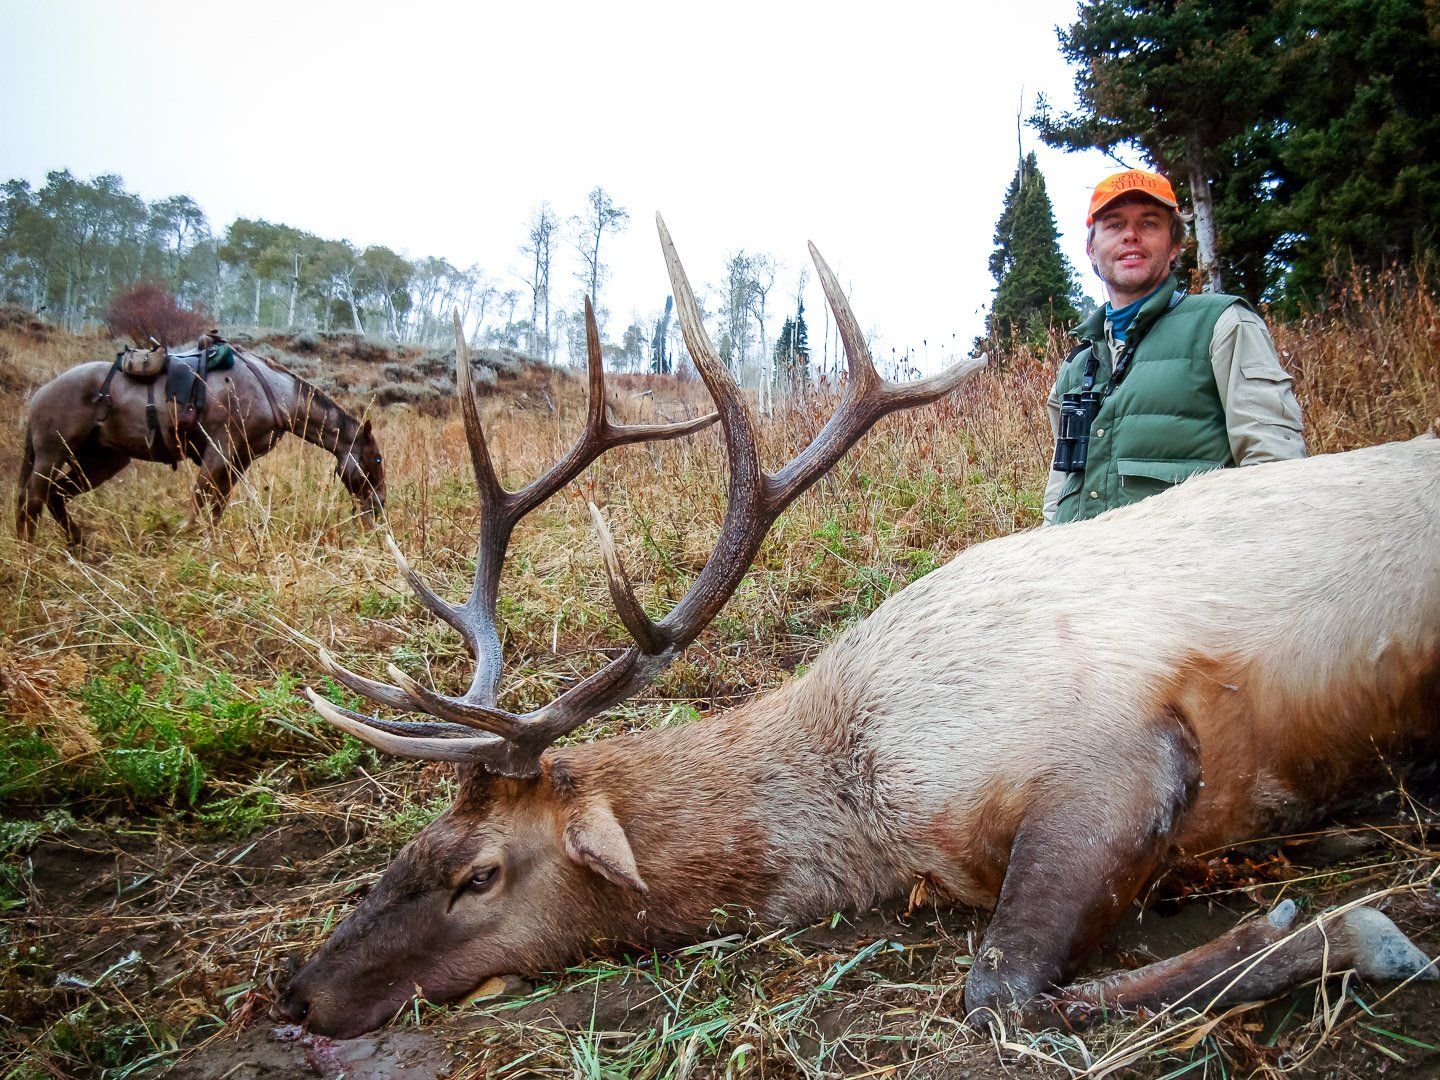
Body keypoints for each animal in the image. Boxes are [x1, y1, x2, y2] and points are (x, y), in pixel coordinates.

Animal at [16, 345, 386, 545]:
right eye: (377, 459)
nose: (379, 507)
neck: (274, 392)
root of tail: (40, 394)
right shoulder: (219, 450)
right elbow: (200, 499)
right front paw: (190, 539)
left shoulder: (238, 460)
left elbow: (217, 505)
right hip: (52, 454)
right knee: (32, 500)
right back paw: (29, 551)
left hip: (102, 460)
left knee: (56, 495)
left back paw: (77, 545)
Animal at [275, 215, 1439, 1040]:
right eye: (413, 843)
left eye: (478, 875)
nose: (295, 991)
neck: (870, 804)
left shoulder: (1115, 753)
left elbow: (1002, 993)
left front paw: (1354, 928)